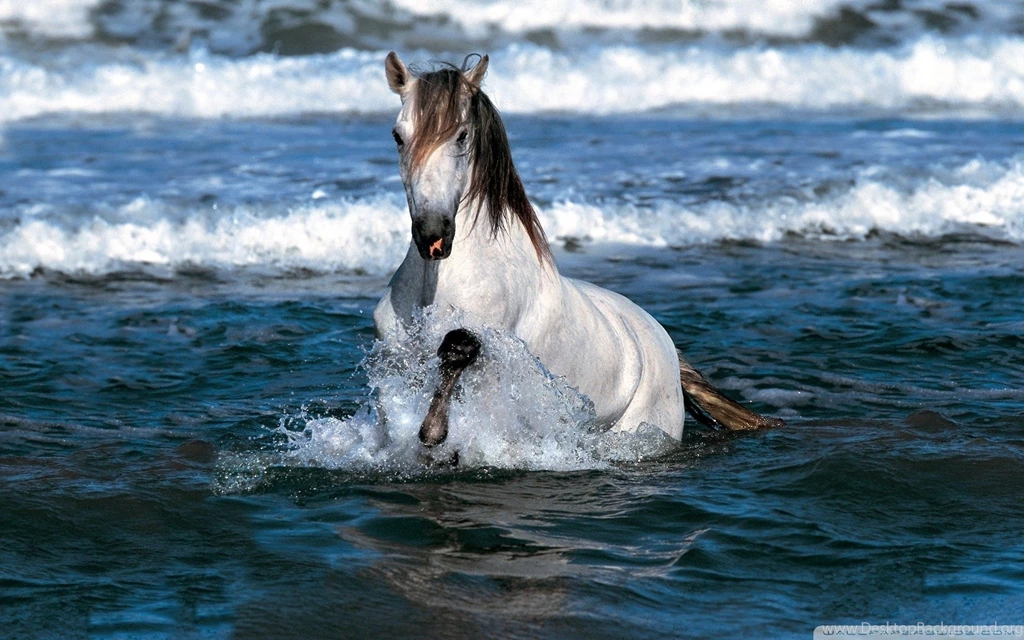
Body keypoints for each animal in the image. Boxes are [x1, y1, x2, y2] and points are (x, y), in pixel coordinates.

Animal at [373, 52, 783, 448]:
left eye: (461, 136)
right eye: (397, 136)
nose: (433, 235)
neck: (438, 284)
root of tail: (665, 345)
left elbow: (458, 348)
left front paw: (434, 432)